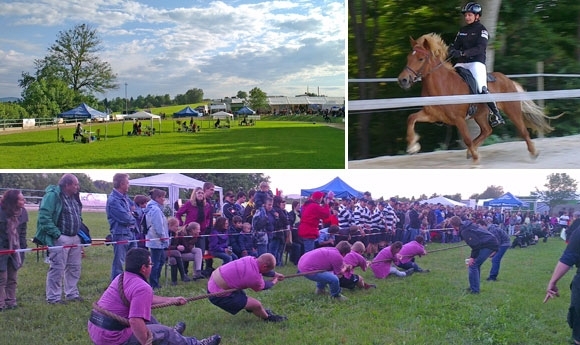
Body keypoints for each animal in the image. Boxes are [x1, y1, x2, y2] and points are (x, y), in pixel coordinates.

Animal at [396, 32, 556, 164]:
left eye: (420, 58)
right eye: (408, 57)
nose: (403, 80)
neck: (443, 86)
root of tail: (508, 80)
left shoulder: (459, 119)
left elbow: (466, 138)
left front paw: (476, 158)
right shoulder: (432, 115)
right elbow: (411, 118)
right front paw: (412, 146)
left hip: (512, 110)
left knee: (522, 130)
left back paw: (533, 152)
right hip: (480, 115)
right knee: (486, 130)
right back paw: (471, 150)